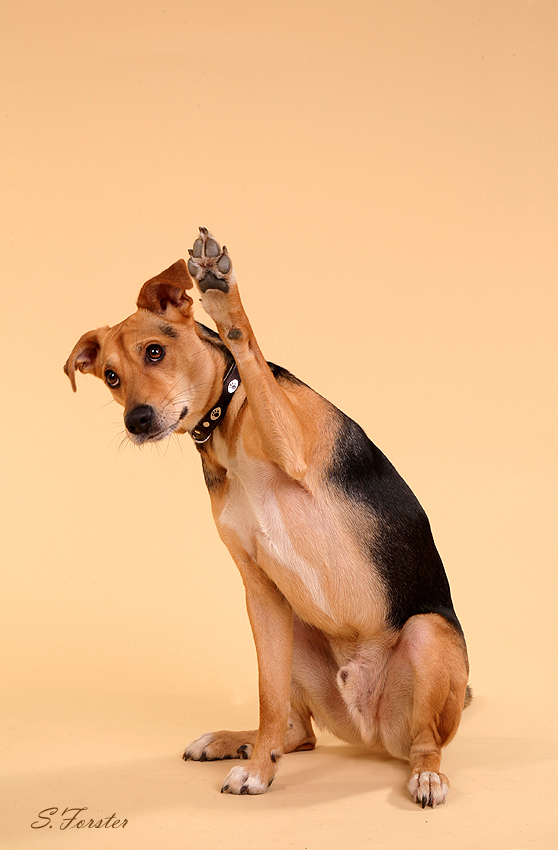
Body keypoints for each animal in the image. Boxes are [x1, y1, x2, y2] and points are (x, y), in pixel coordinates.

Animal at [64, 224, 472, 800]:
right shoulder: (260, 591)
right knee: (299, 731)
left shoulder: (294, 443)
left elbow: (251, 348)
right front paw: (259, 769)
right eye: (111, 377)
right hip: (292, 625)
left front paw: (219, 290)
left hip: (427, 636)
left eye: (155, 352)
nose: (137, 421)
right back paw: (236, 741)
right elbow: (267, 697)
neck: (227, 421)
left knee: (425, 742)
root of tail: (368, 727)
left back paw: (427, 775)